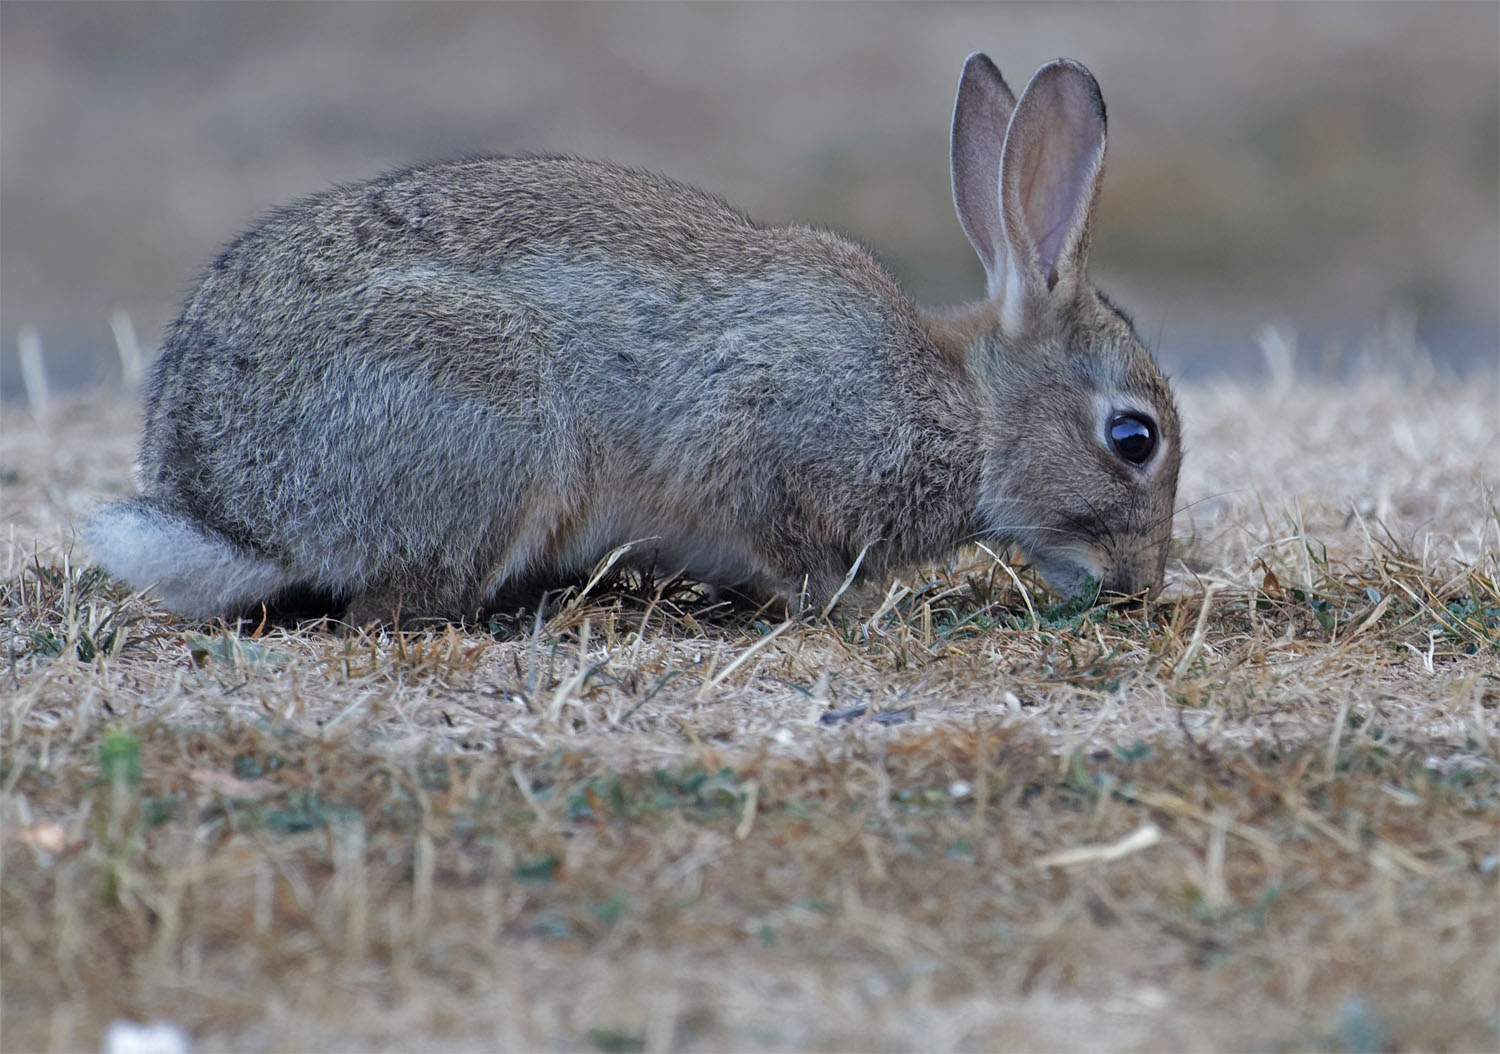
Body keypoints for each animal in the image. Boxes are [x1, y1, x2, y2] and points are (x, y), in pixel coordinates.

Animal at [83, 53, 1181, 626]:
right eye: (1135, 439)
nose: (1144, 587)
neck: (967, 409)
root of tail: (223, 508)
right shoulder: (769, 441)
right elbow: (798, 556)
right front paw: (854, 613)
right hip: (498, 428)